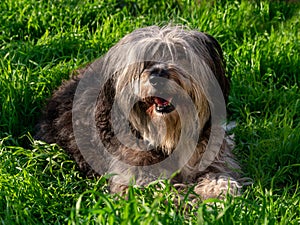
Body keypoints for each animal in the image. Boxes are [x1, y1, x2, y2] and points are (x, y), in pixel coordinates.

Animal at [35, 25, 243, 200]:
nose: (157, 78)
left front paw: (216, 193)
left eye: (180, 55)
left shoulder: (214, 156)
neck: (169, 137)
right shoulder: (134, 178)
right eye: (145, 62)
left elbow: (220, 177)